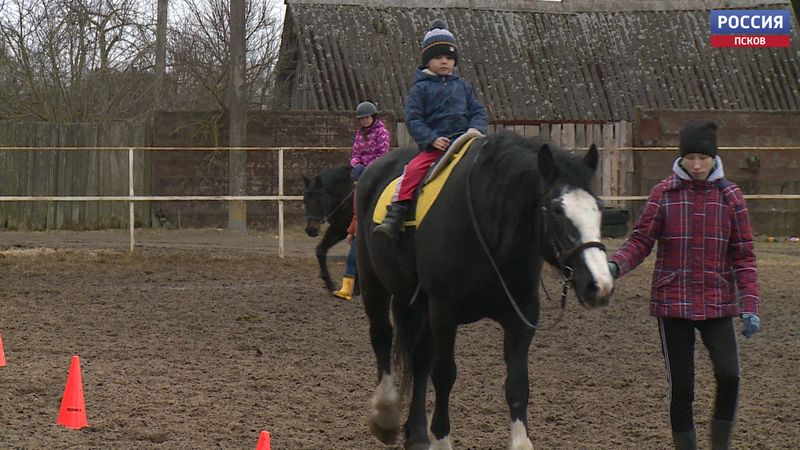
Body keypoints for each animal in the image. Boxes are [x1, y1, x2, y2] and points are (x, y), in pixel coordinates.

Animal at [354, 133, 612, 450]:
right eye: (556, 209)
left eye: (598, 208)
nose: (599, 284)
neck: (490, 233)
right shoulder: (444, 312)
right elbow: (445, 374)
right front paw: (441, 439)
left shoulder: (522, 315)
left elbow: (517, 383)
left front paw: (520, 443)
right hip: (373, 282)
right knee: (382, 337)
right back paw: (385, 415)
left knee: (419, 358)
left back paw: (417, 433)